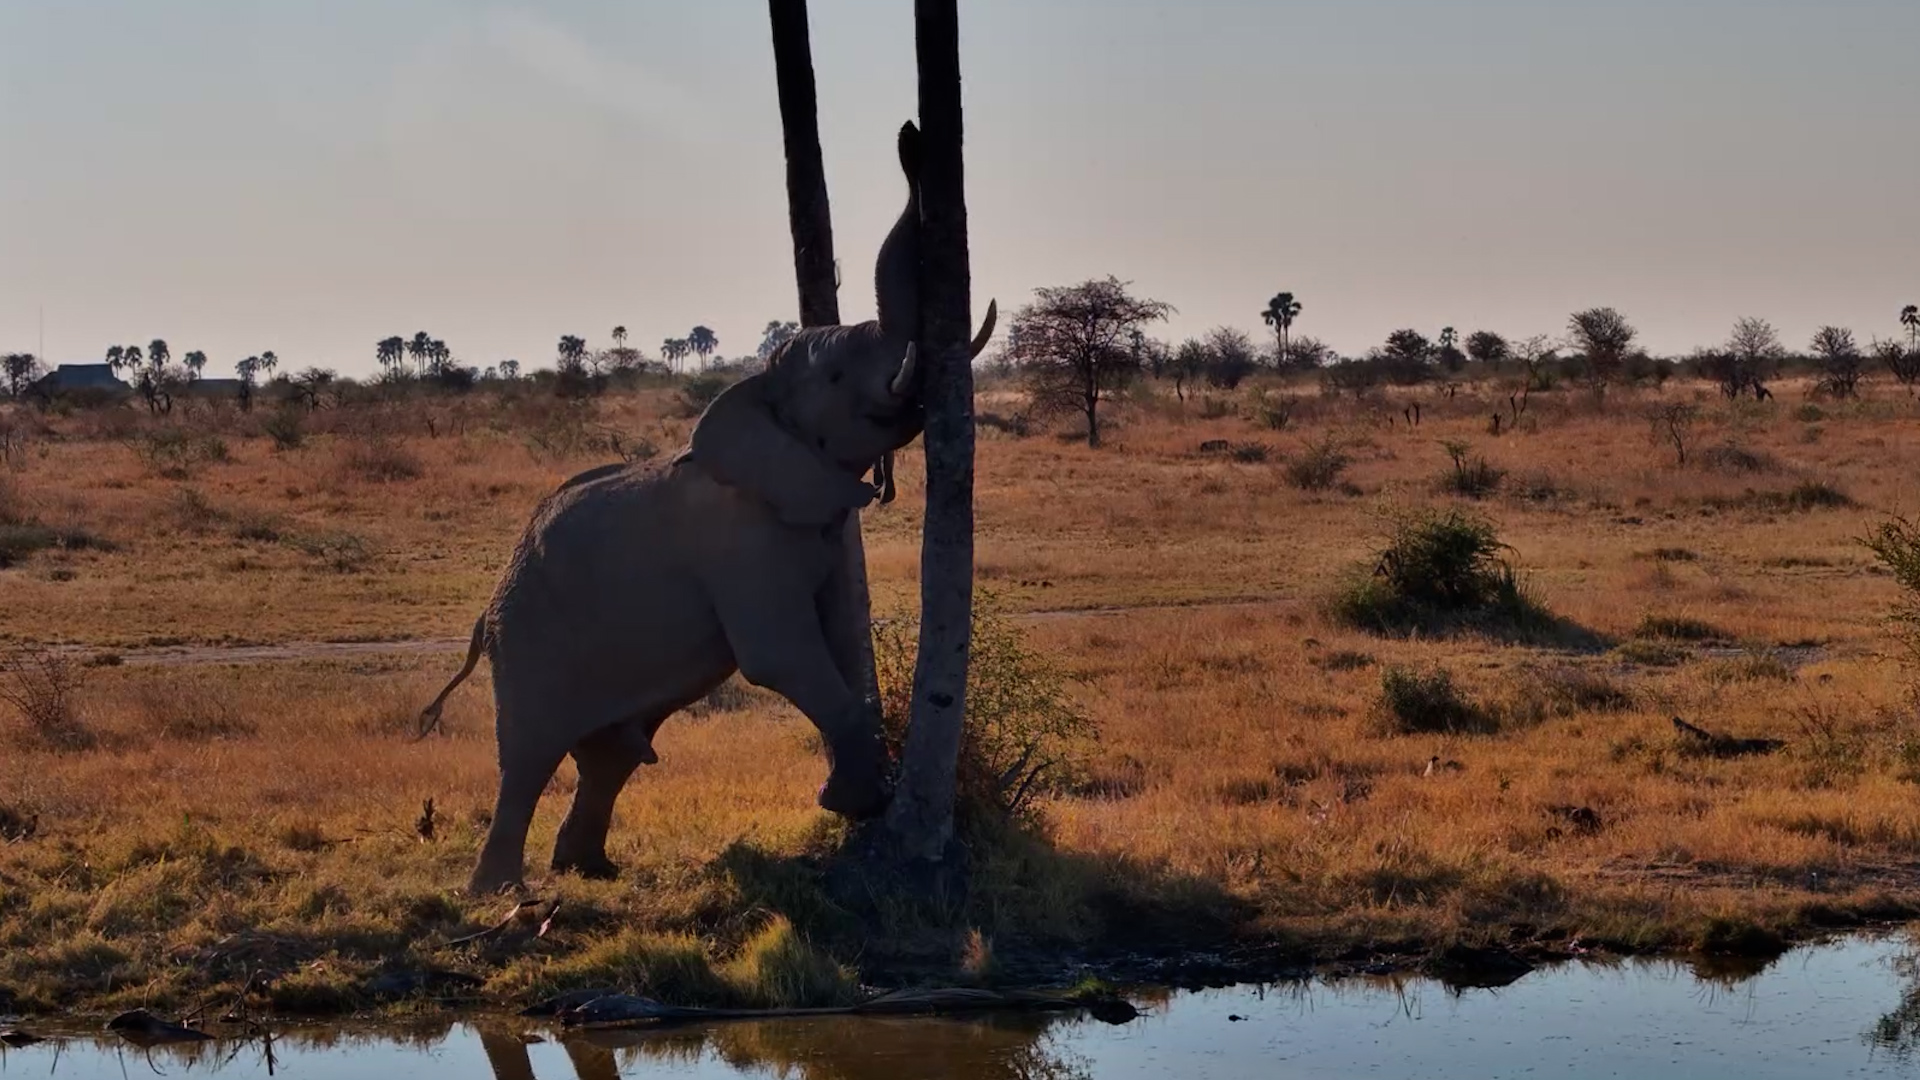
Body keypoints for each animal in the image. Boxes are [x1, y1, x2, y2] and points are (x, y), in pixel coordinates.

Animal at [416, 121, 997, 895]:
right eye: (836, 376)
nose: (911, 137)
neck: (753, 395)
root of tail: (486, 616)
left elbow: (837, 638)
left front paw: (855, 798)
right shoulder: (740, 543)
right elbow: (781, 655)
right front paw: (858, 805)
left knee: (611, 755)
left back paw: (588, 869)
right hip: (530, 639)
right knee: (530, 757)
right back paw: (500, 891)